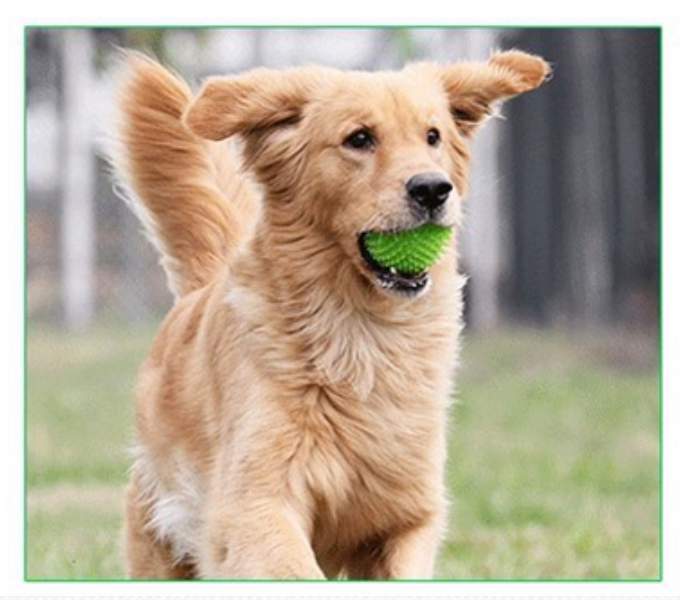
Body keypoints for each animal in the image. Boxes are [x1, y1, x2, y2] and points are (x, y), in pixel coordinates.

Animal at [111, 49, 548, 580]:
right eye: (359, 138)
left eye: (433, 136)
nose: (433, 189)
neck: (364, 331)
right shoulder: (254, 503)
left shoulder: (408, 513)